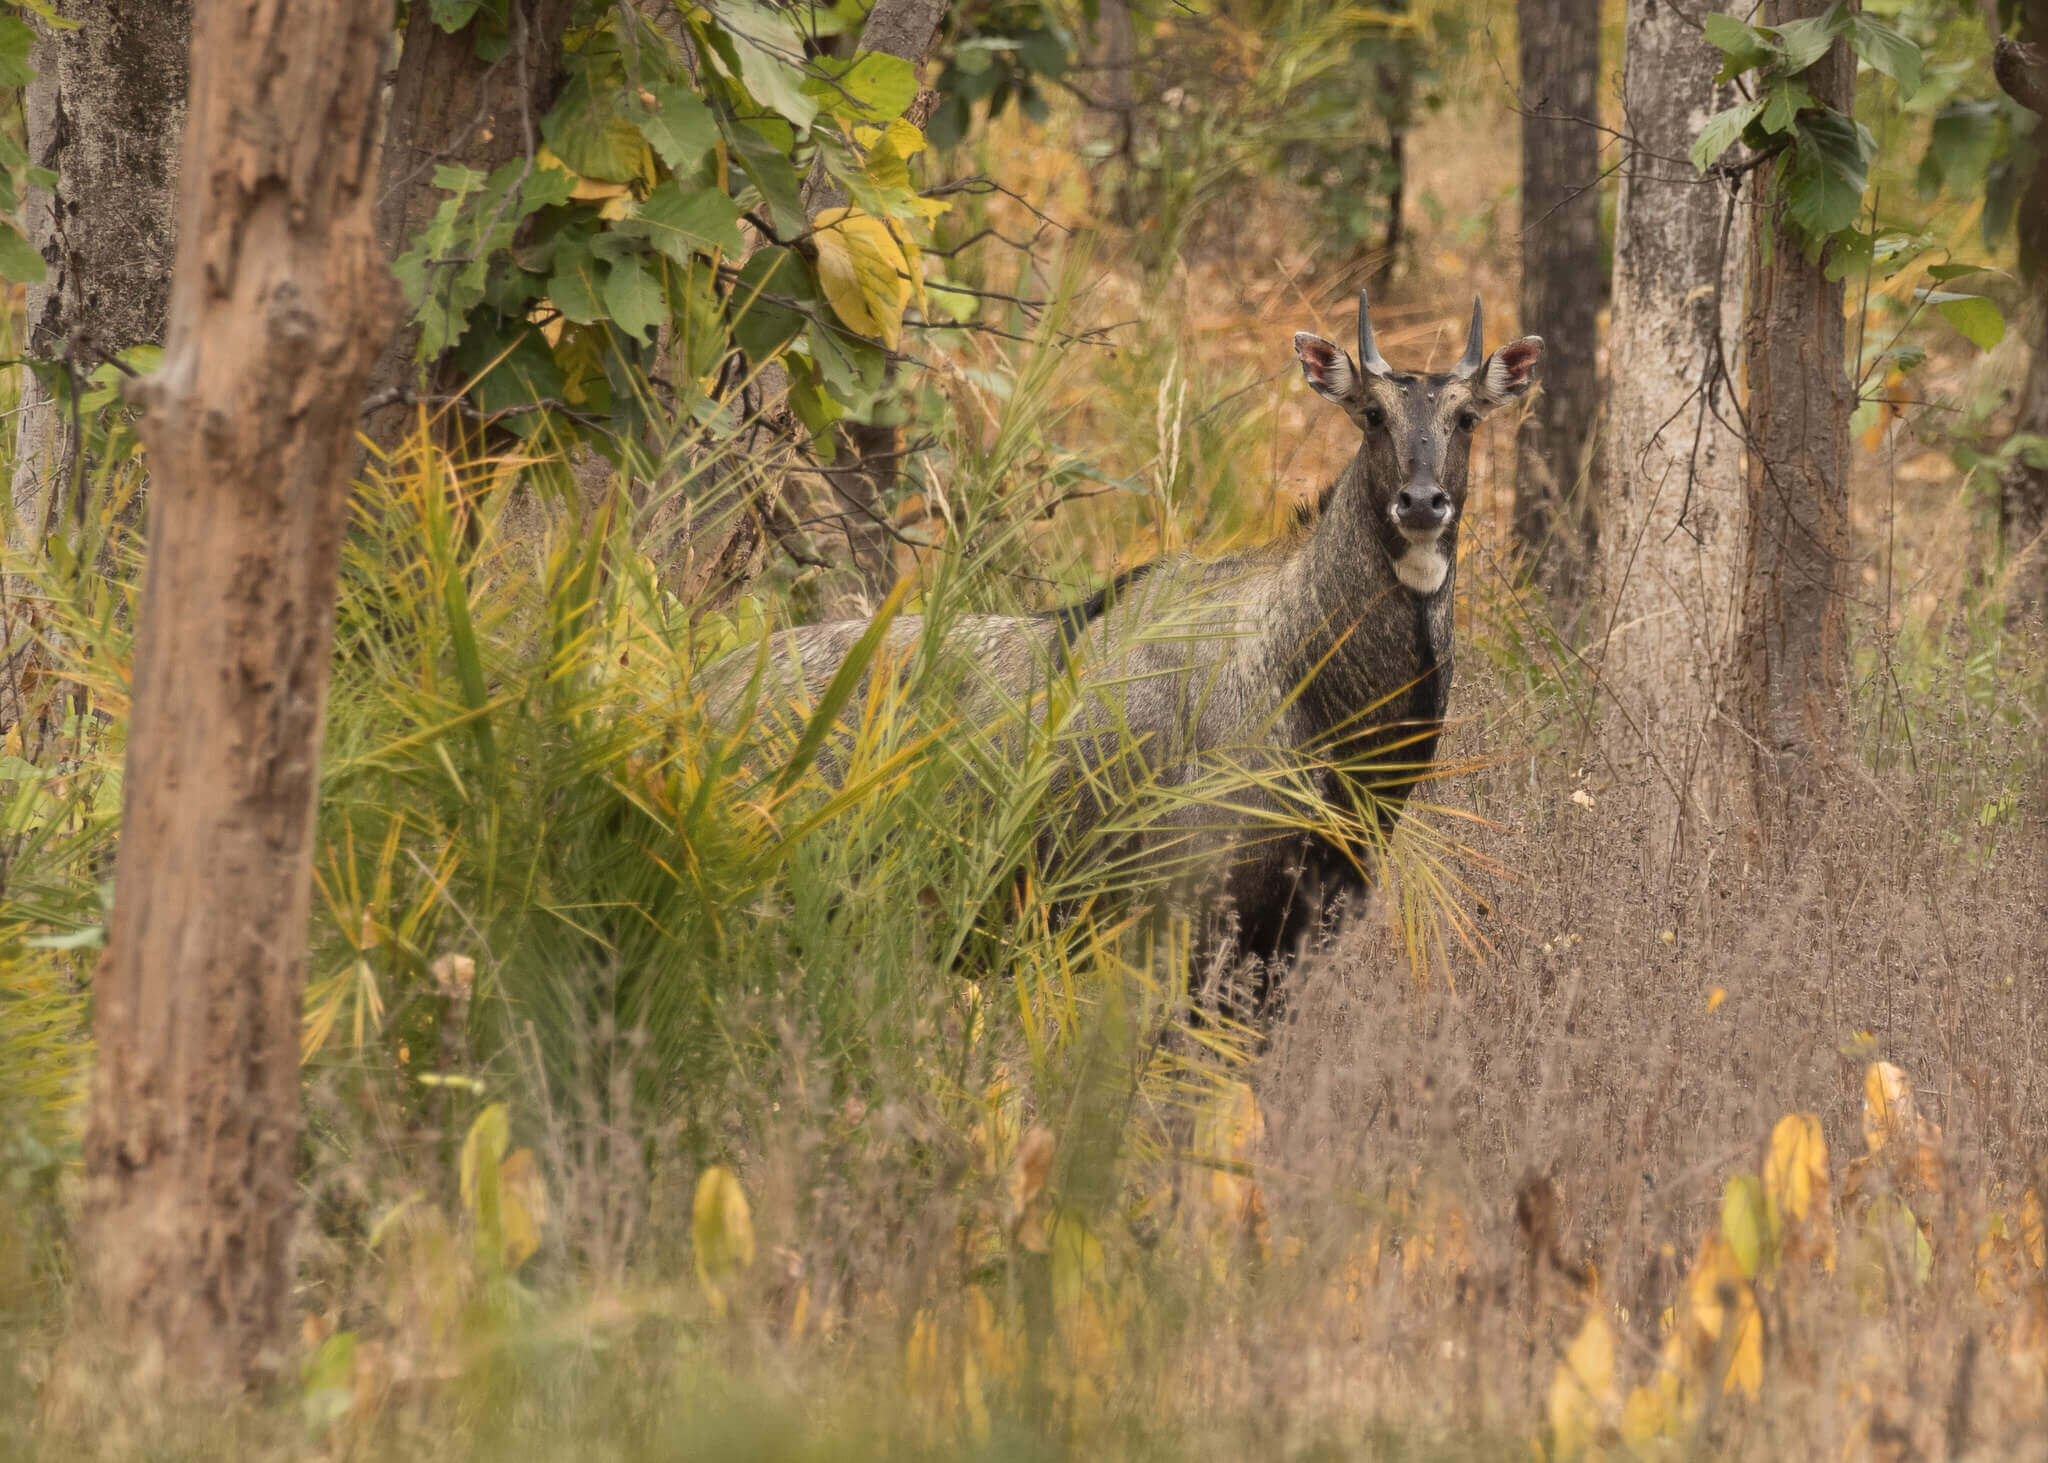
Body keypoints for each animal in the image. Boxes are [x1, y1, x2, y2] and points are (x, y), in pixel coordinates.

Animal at [716, 290, 1540, 1008]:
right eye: (1371, 414)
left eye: (1467, 418)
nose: (1422, 502)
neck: (1317, 706)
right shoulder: (1193, 917)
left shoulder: (1302, 931)